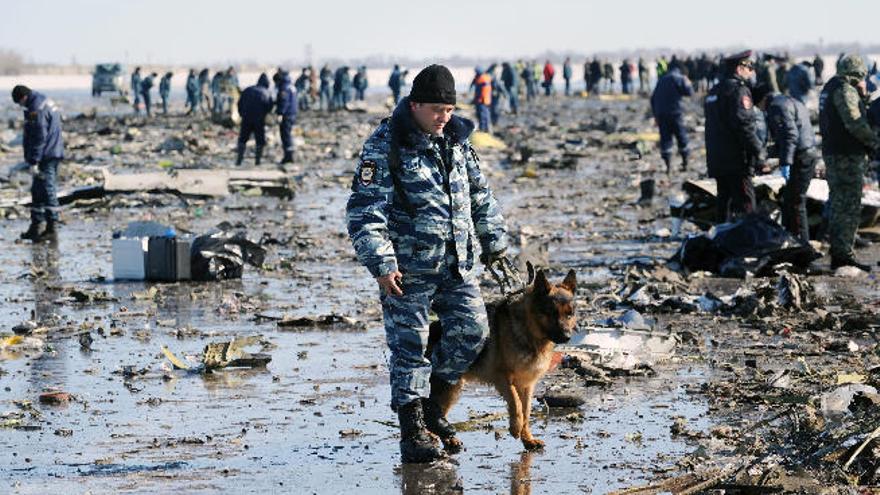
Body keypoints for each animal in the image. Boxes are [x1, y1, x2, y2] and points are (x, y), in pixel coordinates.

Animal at [428, 266, 576, 452]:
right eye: (552, 313)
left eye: (570, 314)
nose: (567, 337)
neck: (528, 331)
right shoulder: (503, 379)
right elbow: (517, 405)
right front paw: (515, 428)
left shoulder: (527, 385)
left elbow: (526, 411)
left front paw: (527, 439)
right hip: (449, 387)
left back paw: (446, 440)